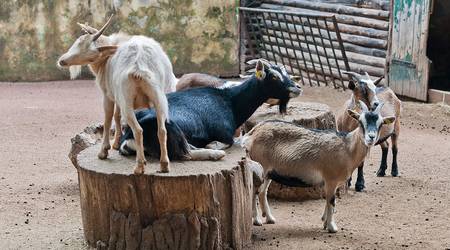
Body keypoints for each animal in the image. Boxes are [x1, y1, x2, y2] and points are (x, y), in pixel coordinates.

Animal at [59, 15, 178, 172]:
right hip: (162, 97)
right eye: (79, 41)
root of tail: (139, 65)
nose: (62, 61)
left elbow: (109, 118)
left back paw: (139, 166)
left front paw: (104, 151)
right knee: (162, 130)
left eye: (92, 57)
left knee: (138, 130)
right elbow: (117, 116)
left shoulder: (108, 95)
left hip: (127, 99)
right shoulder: (118, 97)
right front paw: (116, 143)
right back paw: (164, 165)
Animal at [119, 59, 302, 160]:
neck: (229, 99)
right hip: (169, 128)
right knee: (185, 153)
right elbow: (233, 141)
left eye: (286, 72)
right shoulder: (224, 132)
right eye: (274, 76)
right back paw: (215, 153)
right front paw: (215, 145)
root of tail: (128, 137)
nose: (297, 87)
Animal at [243, 101, 394, 232]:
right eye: (361, 122)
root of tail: (252, 133)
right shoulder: (331, 179)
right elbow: (332, 201)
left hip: (269, 172)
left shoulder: (330, 182)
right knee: (255, 191)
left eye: (380, 123)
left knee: (262, 192)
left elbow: (328, 200)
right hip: (261, 167)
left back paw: (269, 218)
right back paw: (256, 220)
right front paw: (332, 227)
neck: (347, 148)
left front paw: (324, 222)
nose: (371, 137)